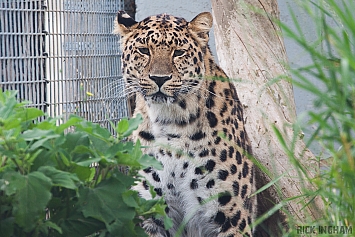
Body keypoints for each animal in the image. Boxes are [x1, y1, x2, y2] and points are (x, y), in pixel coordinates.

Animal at [115, 10, 258, 236]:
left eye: (179, 52)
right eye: (144, 50)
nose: (159, 78)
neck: (170, 121)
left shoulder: (231, 217)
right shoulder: (150, 213)